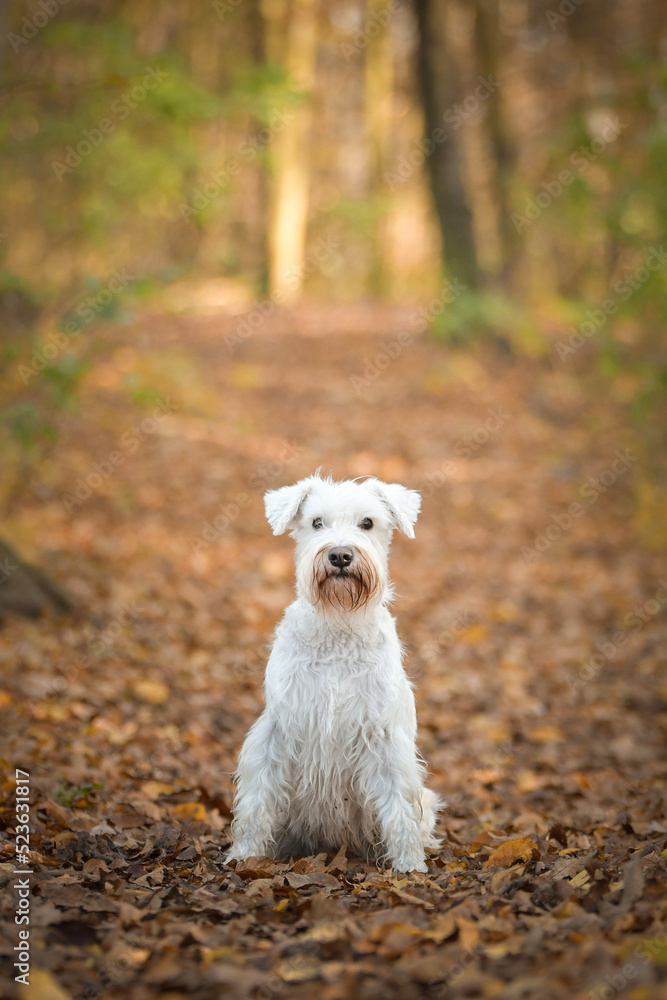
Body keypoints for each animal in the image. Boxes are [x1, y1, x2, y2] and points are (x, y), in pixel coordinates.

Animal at [227, 472, 440, 872]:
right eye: (316, 523)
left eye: (367, 523)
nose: (340, 555)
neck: (338, 626)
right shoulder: (280, 727)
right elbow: (258, 798)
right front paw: (244, 855)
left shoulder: (382, 735)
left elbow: (399, 807)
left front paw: (409, 865)